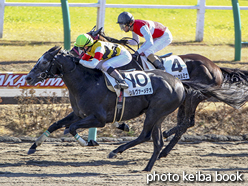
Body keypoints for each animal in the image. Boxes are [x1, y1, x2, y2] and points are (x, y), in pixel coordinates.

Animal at [25, 45, 192, 171]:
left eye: (45, 62)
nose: (28, 78)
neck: (85, 82)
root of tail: (178, 82)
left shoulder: (99, 119)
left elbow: (72, 128)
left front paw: (86, 143)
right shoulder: (79, 114)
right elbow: (55, 125)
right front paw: (34, 146)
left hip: (154, 112)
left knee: (145, 135)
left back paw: (115, 151)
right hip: (159, 116)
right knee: (157, 143)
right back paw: (147, 168)